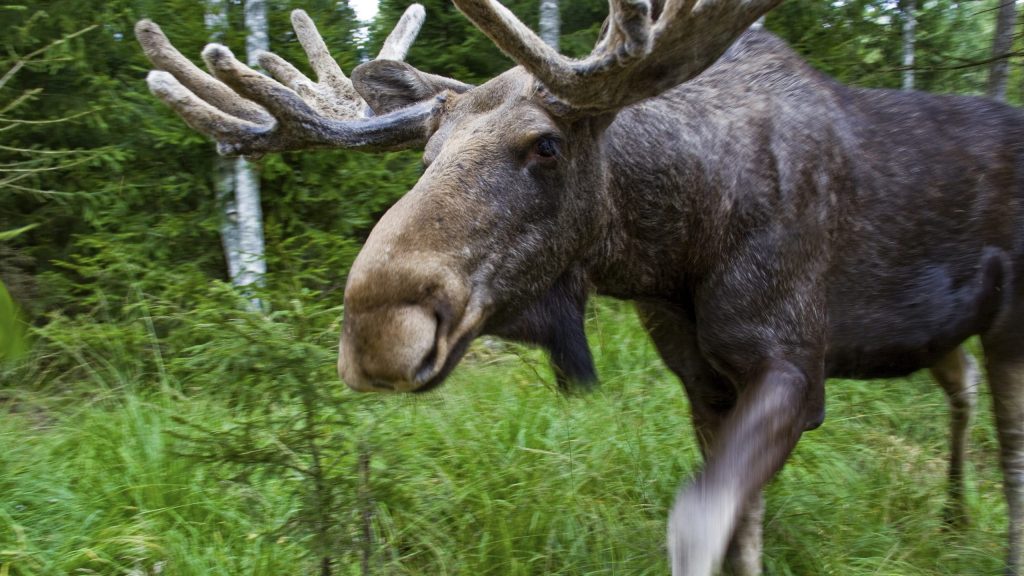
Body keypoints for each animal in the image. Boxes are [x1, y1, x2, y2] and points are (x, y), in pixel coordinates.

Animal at [135, 0, 1024, 574]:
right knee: (963, 394)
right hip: (943, 335)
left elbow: (698, 522)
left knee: (1009, 446)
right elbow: (739, 527)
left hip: (1011, 326)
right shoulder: (702, 379)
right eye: (426, 155)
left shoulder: (793, 365)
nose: (377, 330)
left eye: (547, 145)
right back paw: (953, 514)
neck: (677, 245)